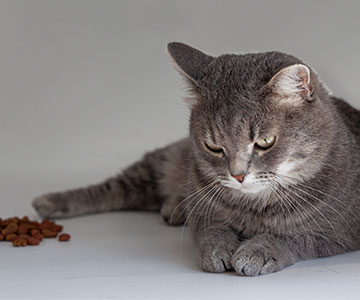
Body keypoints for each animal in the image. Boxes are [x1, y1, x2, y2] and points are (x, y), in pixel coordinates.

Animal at [32, 42, 360, 276]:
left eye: (265, 143)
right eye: (213, 146)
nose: (238, 175)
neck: (253, 207)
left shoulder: (339, 232)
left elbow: (295, 238)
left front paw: (258, 251)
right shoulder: (206, 212)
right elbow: (211, 230)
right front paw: (219, 250)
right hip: (163, 161)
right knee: (111, 189)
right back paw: (50, 202)